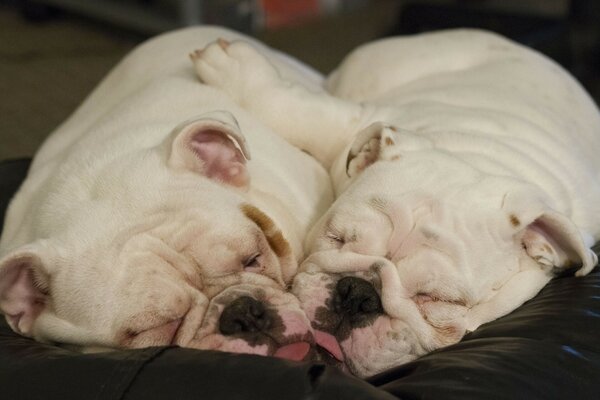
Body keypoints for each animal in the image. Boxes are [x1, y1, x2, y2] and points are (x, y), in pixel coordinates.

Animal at [191, 29, 600, 376]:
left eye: (438, 300)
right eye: (337, 237)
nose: (357, 293)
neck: (479, 156)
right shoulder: (355, 122)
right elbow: (300, 111)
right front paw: (235, 67)